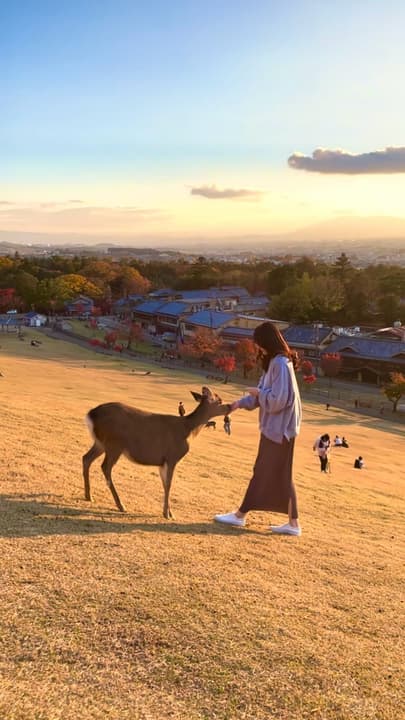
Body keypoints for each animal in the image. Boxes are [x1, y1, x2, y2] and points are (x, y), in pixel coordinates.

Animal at [82, 386, 231, 519]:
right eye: (220, 400)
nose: (230, 406)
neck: (188, 430)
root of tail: (91, 414)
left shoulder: (162, 461)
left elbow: (165, 484)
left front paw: (170, 513)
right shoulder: (172, 456)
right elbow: (169, 484)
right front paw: (167, 514)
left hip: (100, 443)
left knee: (86, 458)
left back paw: (89, 496)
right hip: (114, 444)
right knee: (105, 467)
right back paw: (121, 505)